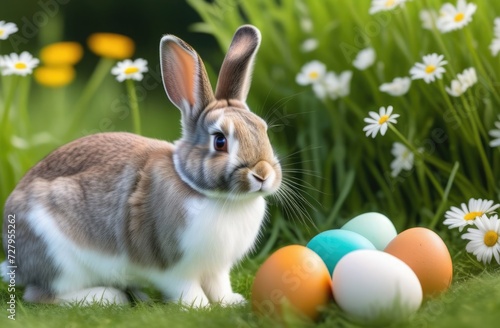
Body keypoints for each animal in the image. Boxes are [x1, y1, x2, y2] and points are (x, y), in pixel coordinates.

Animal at [0, 25, 282, 308]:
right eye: (220, 141)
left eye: (263, 130)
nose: (262, 174)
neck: (213, 196)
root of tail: (15, 263)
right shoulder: (173, 268)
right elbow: (186, 288)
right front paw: (199, 307)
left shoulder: (216, 268)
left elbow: (219, 286)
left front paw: (231, 302)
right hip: (60, 261)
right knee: (44, 295)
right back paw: (109, 297)